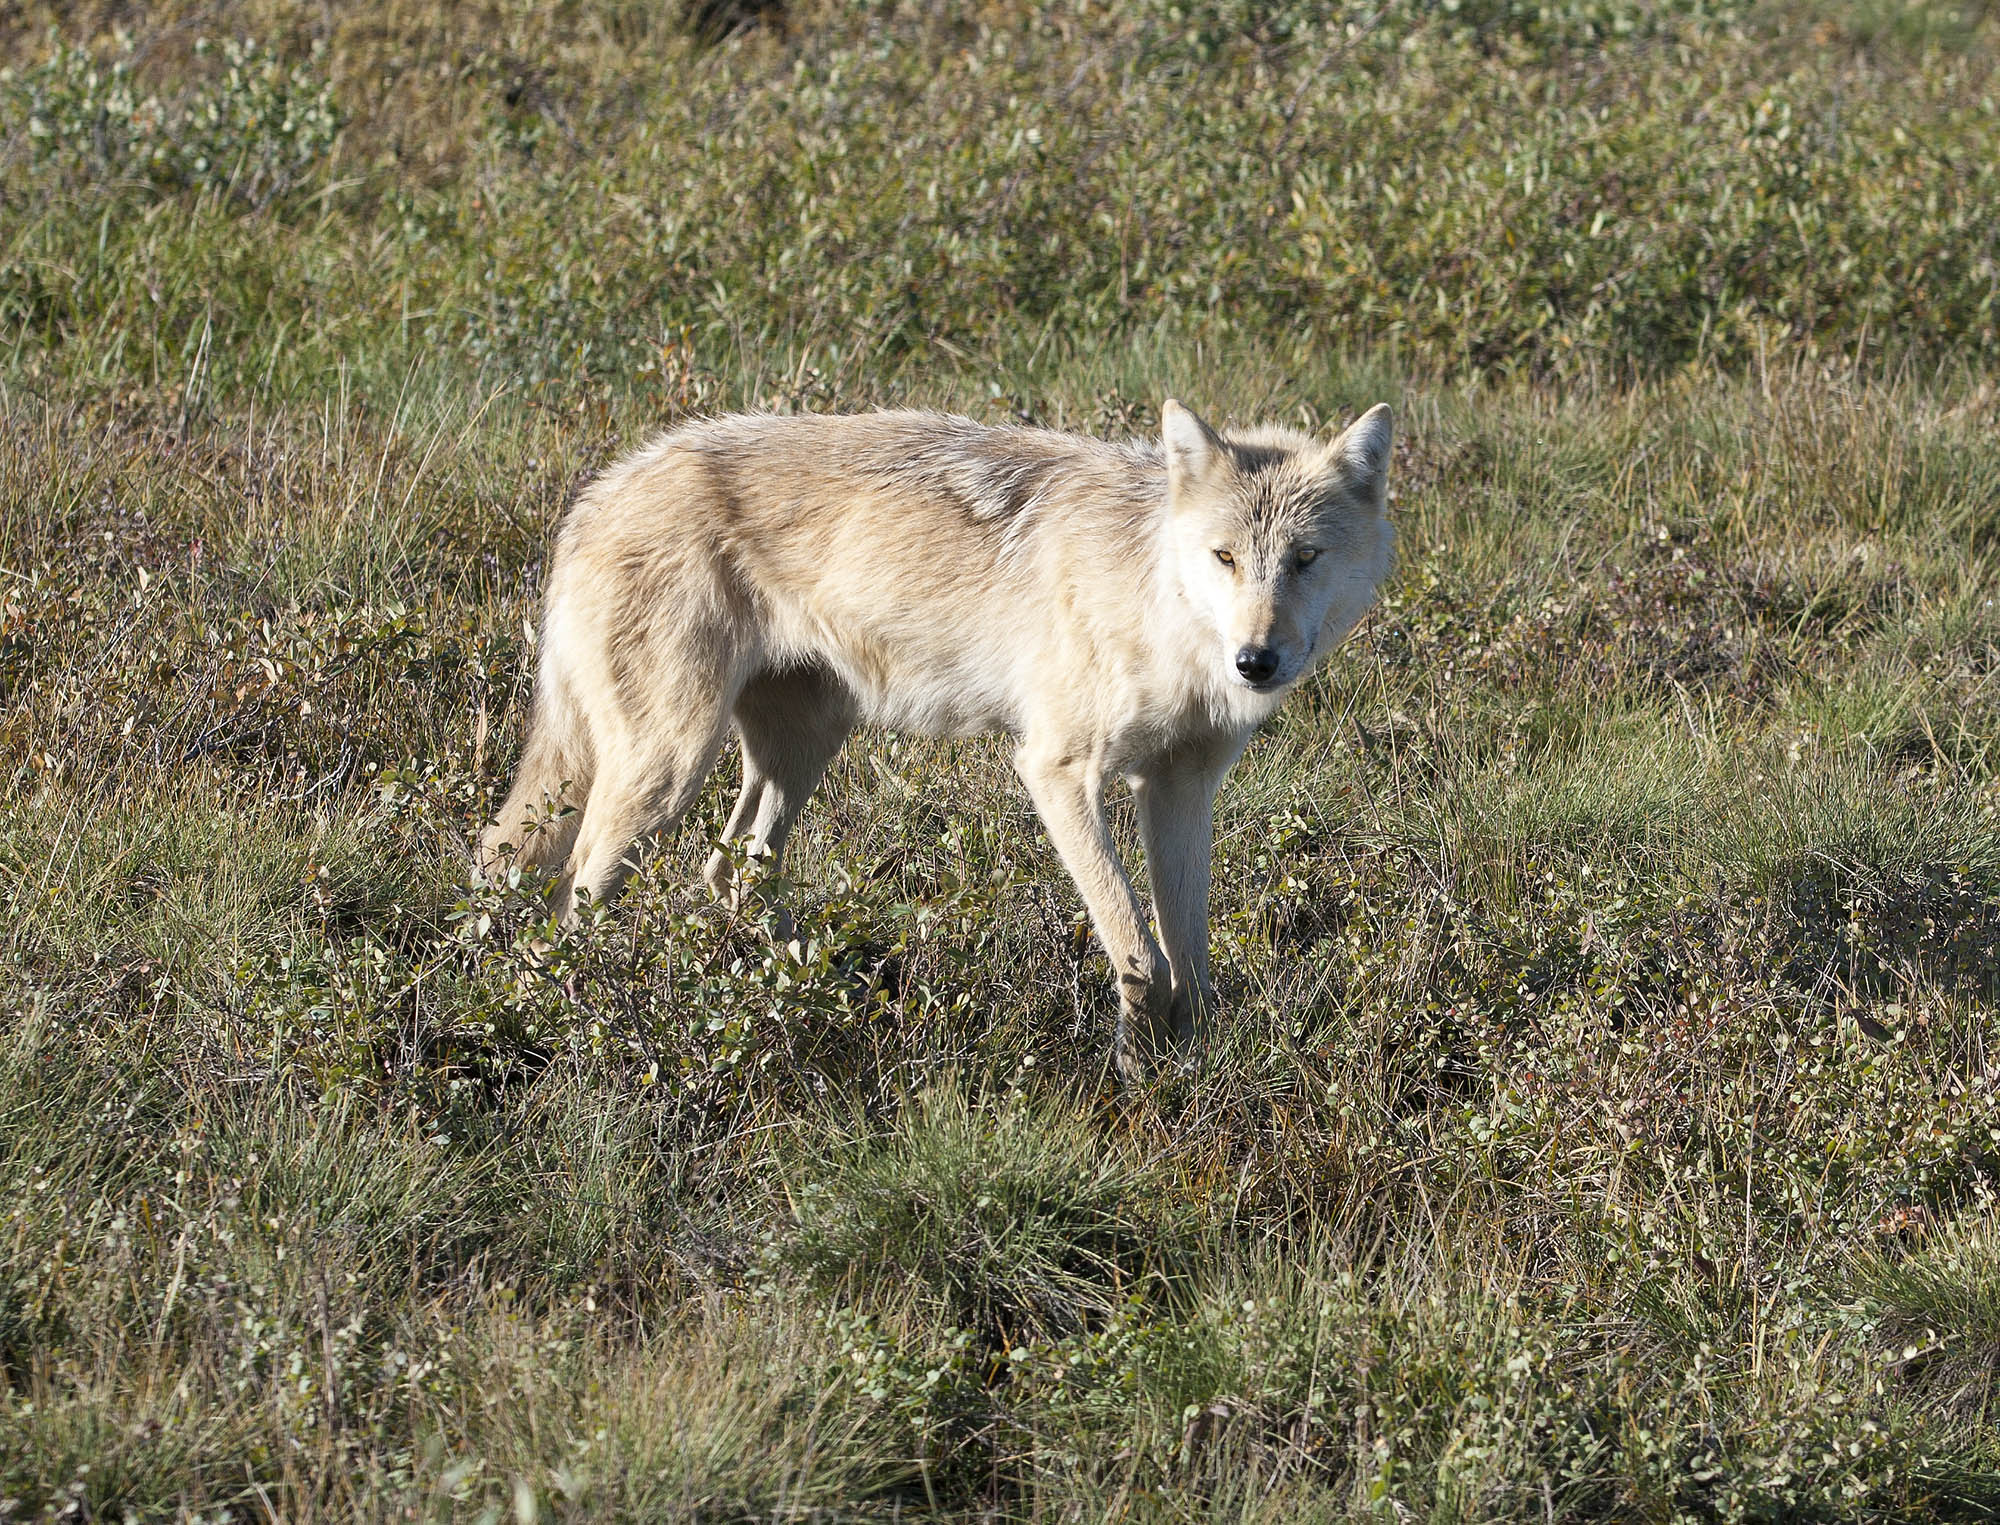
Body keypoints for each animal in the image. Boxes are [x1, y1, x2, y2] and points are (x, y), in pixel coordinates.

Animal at [478, 398, 1400, 1072]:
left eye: (1305, 559)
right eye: (1224, 558)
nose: (1256, 659)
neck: (1156, 608)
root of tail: (597, 492)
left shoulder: (1179, 786)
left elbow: (1189, 949)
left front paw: (1194, 1064)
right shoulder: (1056, 770)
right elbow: (1139, 945)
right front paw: (1139, 1065)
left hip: (803, 748)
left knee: (728, 871)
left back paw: (820, 999)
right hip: (668, 773)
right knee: (562, 892)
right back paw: (554, 1017)